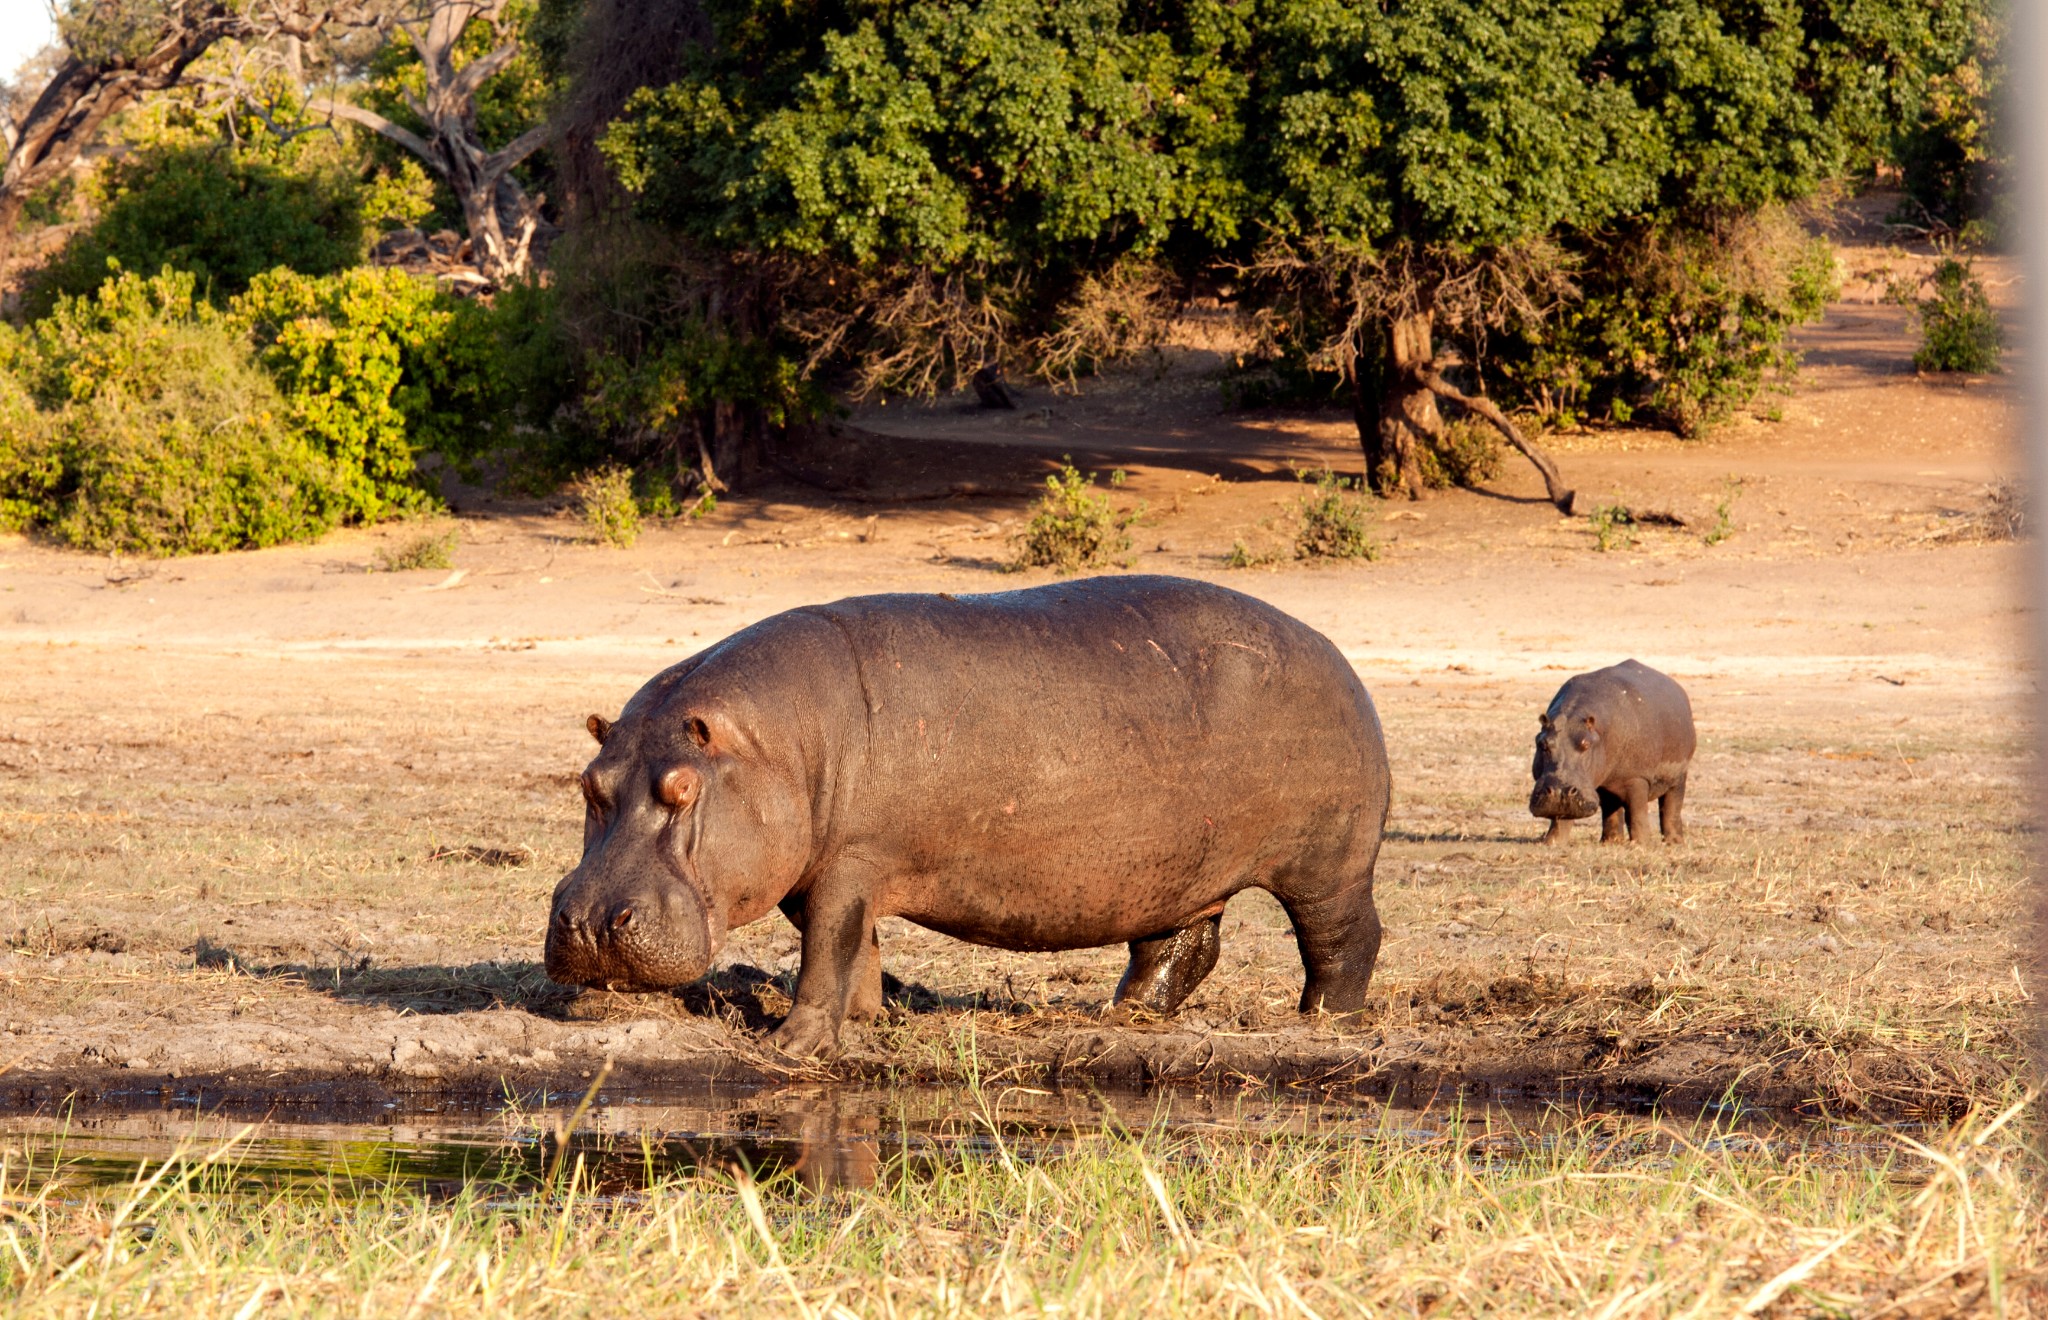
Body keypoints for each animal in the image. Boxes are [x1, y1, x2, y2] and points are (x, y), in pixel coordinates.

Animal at [544, 573, 1392, 1056]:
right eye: (589, 783)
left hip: (1327, 867)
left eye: (684, 790)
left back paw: (1323, 1023)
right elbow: (854, 949)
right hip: (1180, 870)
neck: (772, 747)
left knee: (1345, 941)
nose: (588, 922)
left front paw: (792, 1045)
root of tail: (1337, 653)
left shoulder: (851, 860)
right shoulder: (827, 871)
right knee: (1180, 946)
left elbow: (825, 952)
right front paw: (869, 1023)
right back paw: (1122, 1016)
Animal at [1523, 658, 1695, 843]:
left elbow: (1637, 813)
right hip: (1609, 782)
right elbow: (1562, 817)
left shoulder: (1637, 777)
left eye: (1586, 744)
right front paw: (1552, 843)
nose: (1558, 792)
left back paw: (1673, 842)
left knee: (1671, 806)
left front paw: (1641, 844)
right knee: (1611, 808)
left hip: (1679, 776)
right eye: (1542, 743)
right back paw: (1611, 842)